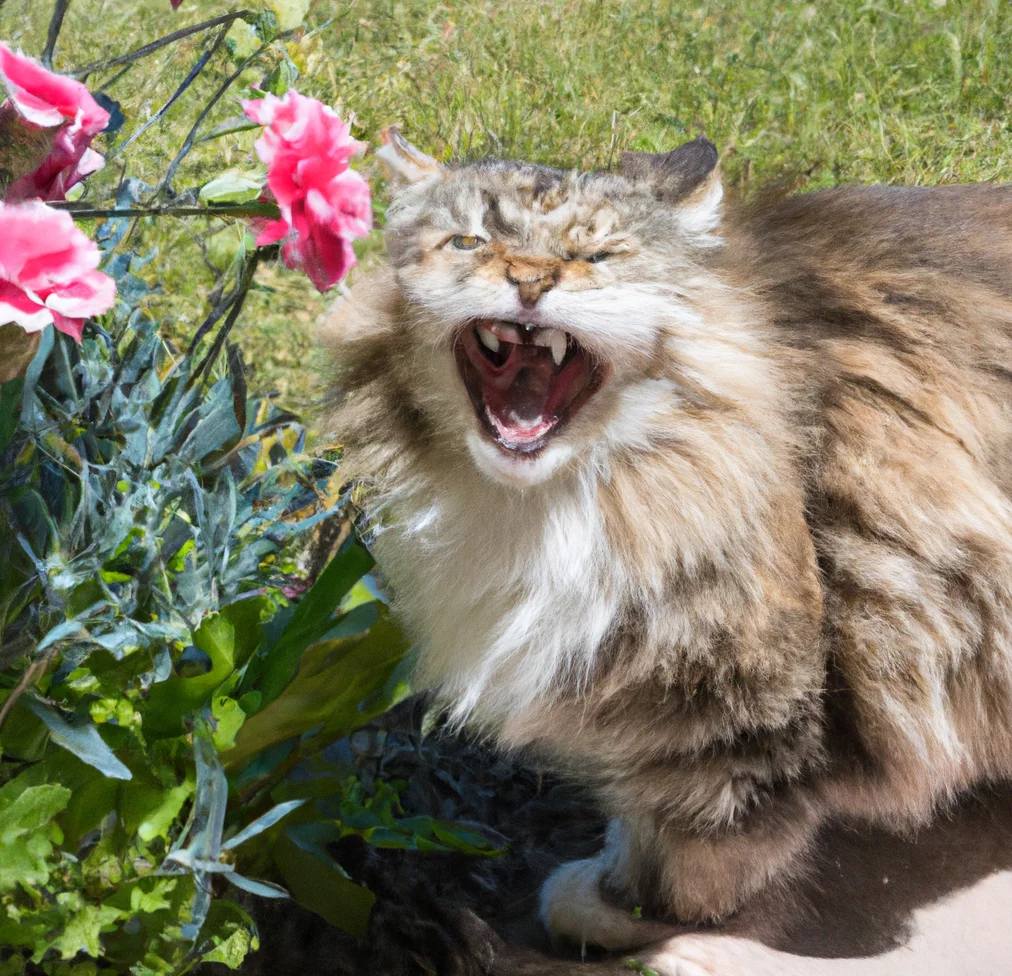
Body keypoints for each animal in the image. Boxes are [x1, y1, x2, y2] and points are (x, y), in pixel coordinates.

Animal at [319, 131, 1011, 967]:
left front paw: (619, 909)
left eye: (596, 256)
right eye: (471, 243)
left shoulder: (761, 708)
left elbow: (697, 854)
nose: (529, 281)